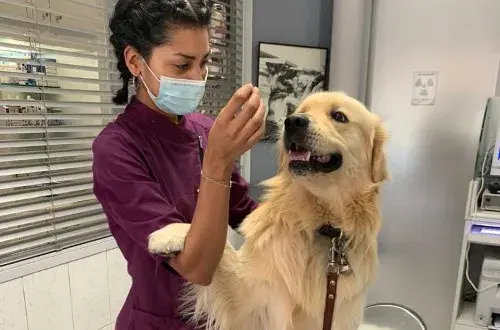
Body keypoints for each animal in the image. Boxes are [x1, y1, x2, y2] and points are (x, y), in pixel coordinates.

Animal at [148, 91, 390, 330]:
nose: (293, 121)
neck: (319, 224)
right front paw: (167, 234)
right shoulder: (250, 303)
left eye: (339, 116)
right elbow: (224, 250)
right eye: (300, 110)